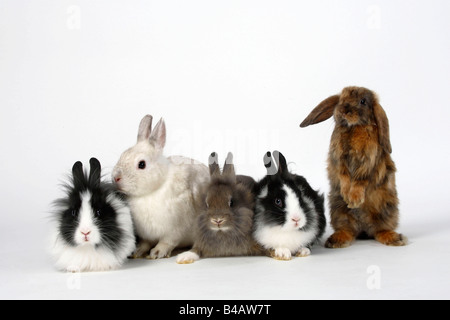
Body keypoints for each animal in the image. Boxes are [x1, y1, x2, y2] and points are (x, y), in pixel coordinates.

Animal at [112, 115, 211, 260]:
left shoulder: (175, 230)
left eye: (142, 164)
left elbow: (167, 242)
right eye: (122, 155)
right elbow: (145, 243)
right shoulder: (146, 234)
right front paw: (137, 251)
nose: (116, 178)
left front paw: (157, 252)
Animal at [300, 85, 406, 248]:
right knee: (348, 230)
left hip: (386, 209)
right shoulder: (339, 158)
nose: (343, 110)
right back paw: (336, 240)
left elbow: (360, 178)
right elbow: (343, 175)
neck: (354, 128)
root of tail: (363, 230)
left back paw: (394, 238)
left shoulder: (368, 159)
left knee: (380, 230)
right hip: (338, 210)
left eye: (363, 101)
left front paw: (354, 199)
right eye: (341, 98)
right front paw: (346, 194)